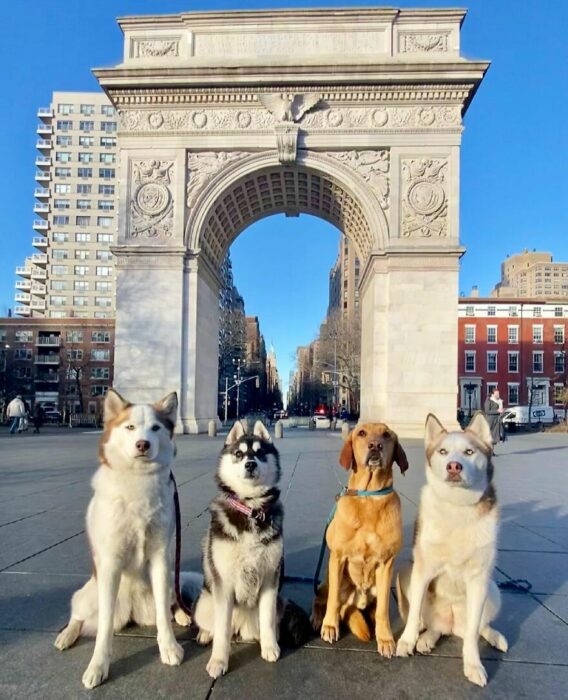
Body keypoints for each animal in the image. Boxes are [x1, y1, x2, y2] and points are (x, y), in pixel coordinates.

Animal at [54, 388, 190, 688]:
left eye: (155, 428)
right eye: (129, 427)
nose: (142, 444)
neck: (139, 482)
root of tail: (132, 612)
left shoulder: (161, 557)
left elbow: (163, 616)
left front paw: (169, 647)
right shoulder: (110, 563)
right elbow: (103, 629)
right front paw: (98, 666)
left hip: (166, 586)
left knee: (169, 603)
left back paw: (183, 614)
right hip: (89, 595)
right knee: (79, 616)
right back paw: (66, 635)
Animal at [310, 422, 408, 656]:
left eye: (387, 435)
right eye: (361, 433)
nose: (375, 445)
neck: (369, 496)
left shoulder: (386, 564)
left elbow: (383, 610)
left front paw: (385, 638)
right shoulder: (337, 558)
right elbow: (333, 601)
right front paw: (330, 625)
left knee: (375, 609)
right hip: (328, 578)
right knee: (323, 599)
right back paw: (319, 618)